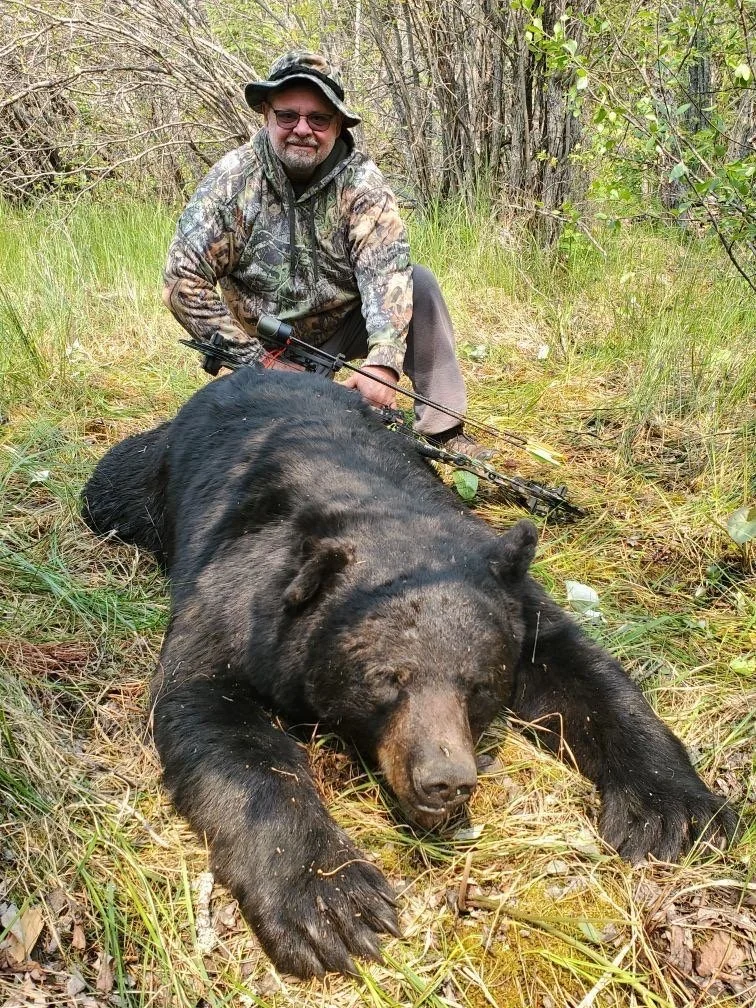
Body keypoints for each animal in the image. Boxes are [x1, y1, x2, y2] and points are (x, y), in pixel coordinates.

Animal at [81, 367, 734, 979]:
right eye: (386, 679)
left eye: (479, 685)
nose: (446, 780)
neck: (376, 510)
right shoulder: (237, 595)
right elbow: (204, 704)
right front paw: (331, 900)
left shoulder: (516, 599)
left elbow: (583, 672)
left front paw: (671, 809)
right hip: (144, 479)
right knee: (110, 486)